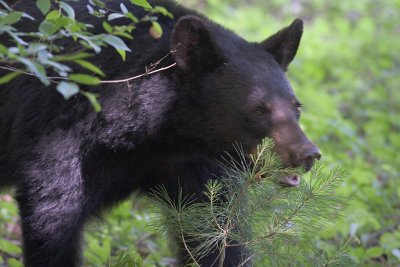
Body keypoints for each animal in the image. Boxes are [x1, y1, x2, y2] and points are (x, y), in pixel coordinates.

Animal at [0, 0, 320, 267]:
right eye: (258, 110)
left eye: (297, 106)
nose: (308, 154)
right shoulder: (57, 131)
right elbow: (52, 214)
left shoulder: (198, 170)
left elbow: (214, 231)